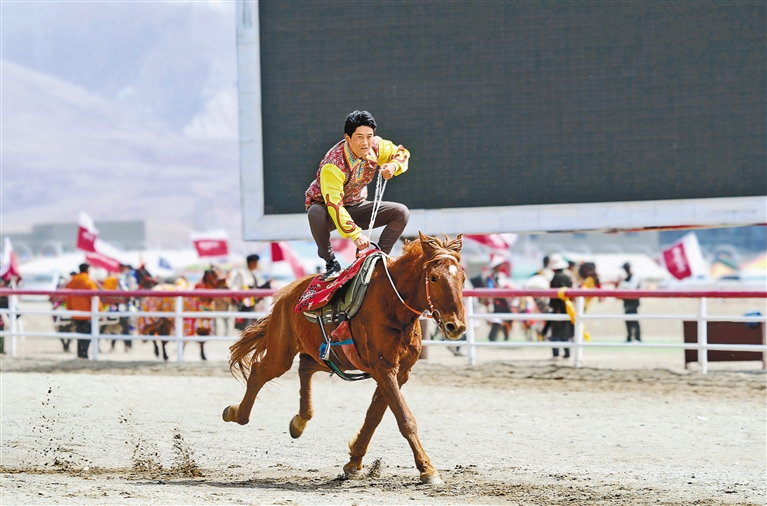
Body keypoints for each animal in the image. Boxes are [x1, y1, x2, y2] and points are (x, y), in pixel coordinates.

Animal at [223, 233, 466, 484]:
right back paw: (236, 413)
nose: (455, 326)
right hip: (281, 353)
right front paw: (427, 469)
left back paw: (300, 421)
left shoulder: (400, 372)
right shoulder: (384, 368)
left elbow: (375, 415)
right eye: (434, 277)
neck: (392, 303)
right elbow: (404, 418)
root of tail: (285, 296)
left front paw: (354, 463)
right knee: (259, 371)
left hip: (331, 357)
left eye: (463, 278)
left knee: (305, 366)